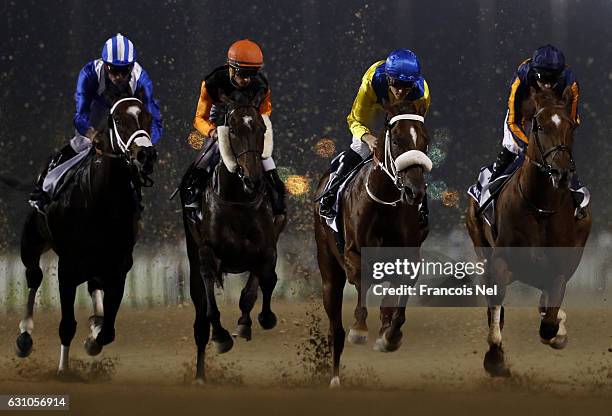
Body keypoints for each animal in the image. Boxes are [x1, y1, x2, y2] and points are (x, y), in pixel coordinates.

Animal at [15, 97, 158, 374]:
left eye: (147, 117)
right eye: (119, 120)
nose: (146, 155)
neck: (102, 201)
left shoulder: (119, 267)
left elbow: (108, 330)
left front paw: (94, 336)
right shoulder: (67, 268)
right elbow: (67, 325)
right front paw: (63, 371)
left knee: (93, 287)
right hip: (32, 240)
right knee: (34, 276)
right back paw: (24, 337)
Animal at [179, 99, 284, 382]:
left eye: (262, 129)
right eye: (233, 131)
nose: (252, 177)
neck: (238, 199)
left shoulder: (265, 249)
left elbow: (255, 289)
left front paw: (251, 322)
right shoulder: (207, 253)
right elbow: (209, 304)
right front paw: (221, 336)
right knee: (200, 319)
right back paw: (200, 376)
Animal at [316, 102, 430, 388]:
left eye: (425, 141)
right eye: (397, 140)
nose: (415, 192)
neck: (385, 201)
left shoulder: (409, 257)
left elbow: (398, 300)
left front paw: (389, 335)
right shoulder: (352, 252)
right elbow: (362, 278)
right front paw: (359, 328)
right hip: (328, 270)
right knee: (336, 327)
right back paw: (335, 378)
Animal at [466, 87, 592, 376]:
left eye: (570, 126)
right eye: (540, 126)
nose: (562, 172)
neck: (540, 208)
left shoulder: (558, 269)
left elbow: (549, 322)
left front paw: (559, 331)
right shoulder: (501, 261)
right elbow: (497, 302)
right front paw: (495, 358)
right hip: (481, 247)